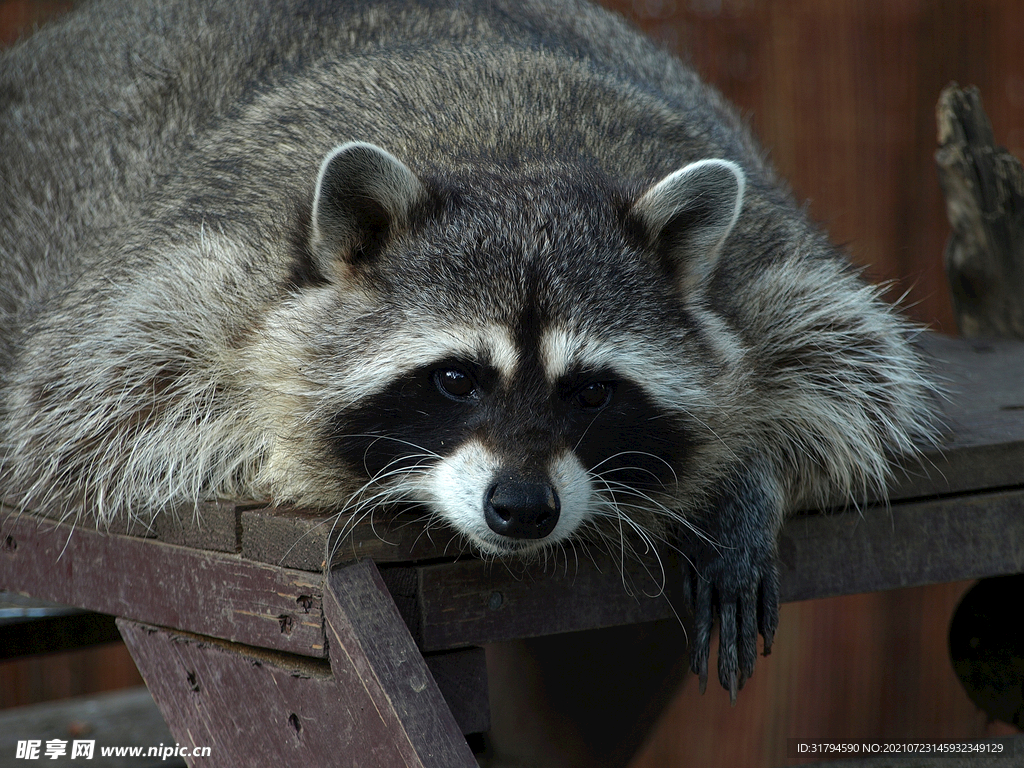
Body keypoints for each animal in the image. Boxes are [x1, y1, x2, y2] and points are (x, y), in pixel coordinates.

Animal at [0, 0, 937, 696]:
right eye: (456, 379)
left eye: (589, 391)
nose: (521, 508)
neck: (510, 161)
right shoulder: (179, 287)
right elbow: (99, 413)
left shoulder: (770, 273)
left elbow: (853, 375)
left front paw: (744, 479)